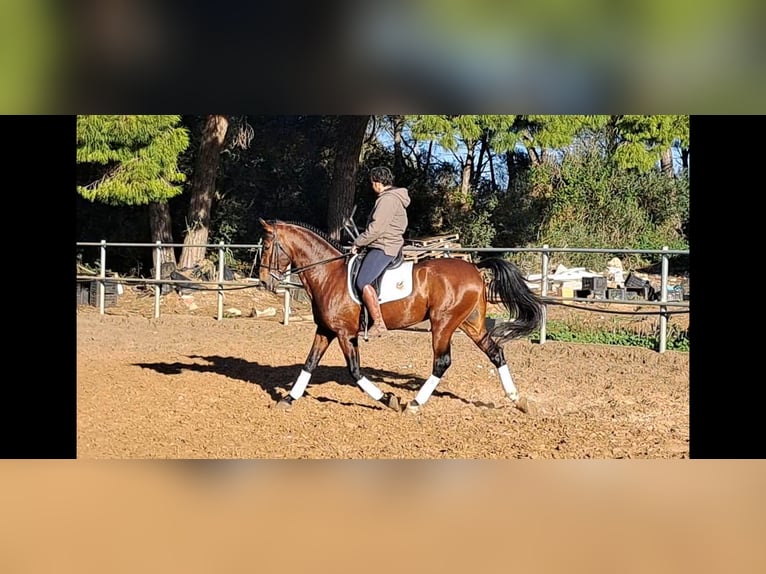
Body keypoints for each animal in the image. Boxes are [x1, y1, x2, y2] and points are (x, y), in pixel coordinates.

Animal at [260, 219, 544, 414]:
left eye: (267, 246)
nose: (264, 282)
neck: (329, 273)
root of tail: (474, 268)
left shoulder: (344, 333)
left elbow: (355, 371)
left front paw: (389, 399)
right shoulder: (326, 330)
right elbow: (309, 364)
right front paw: (287, 399)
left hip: (443, 324)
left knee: (442, 362)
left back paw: (415, 404)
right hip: (470, 324)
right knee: (495, 353)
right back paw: (517, 399)